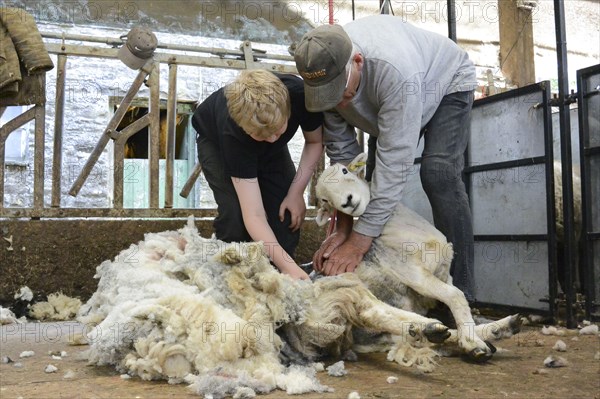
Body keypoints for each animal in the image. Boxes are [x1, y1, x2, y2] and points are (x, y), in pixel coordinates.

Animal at [314, 153, 520, 362]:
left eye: (345, 171)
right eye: (325, 200)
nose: (347, 202)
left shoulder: (444, 274)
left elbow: (459, 301)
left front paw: (471, 335)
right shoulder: (414, 274)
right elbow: (456, 296)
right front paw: (471, 341)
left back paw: (499, 328)